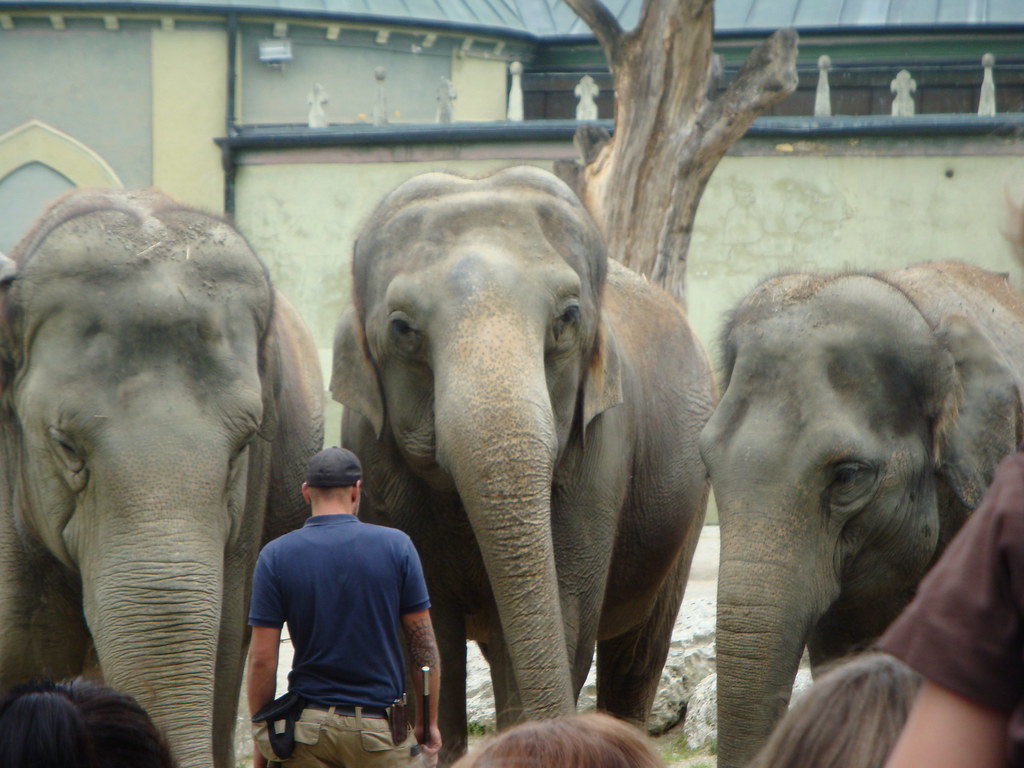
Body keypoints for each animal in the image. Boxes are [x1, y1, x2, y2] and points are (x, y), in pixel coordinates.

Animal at [332, 166, 716, 763]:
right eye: (401, 329)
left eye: (569, 316)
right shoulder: (374, 461)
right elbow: (427, 631)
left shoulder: (600, 452)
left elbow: (562, 613)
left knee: (637, 652)